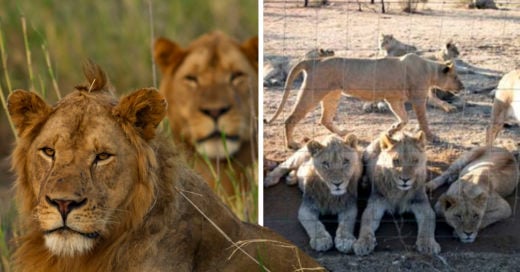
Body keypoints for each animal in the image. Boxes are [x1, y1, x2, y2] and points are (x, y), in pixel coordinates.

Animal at [264, 52, 464, 149]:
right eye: (455, 77)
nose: (462, 87)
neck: (430, 71)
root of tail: (315, 61)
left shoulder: (393, 99)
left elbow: (404, 119)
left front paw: (391, 131)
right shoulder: (417, 98)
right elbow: (422, 120)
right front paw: (432, 137)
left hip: (333, 95)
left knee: (325, 119)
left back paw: (344, 134)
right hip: (312, 93)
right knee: (291, 118)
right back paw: (292, 144)